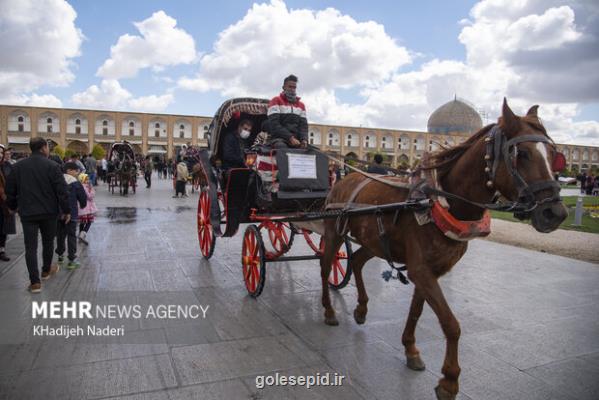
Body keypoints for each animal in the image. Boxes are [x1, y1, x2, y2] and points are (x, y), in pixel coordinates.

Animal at [318, 97, 568, 400]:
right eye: (520, 153)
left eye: (553, 153)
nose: (555, 213)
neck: (440, 201)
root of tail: (344, 178)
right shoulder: (420, 269)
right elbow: (451, 324)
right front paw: (449, 381)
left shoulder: (431, 269)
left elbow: (417, 311)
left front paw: (411, 350)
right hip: (334, 230)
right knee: (325, 265)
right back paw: (329, 312)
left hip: (374, 240)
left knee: (355, 260)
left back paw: (362, 309)